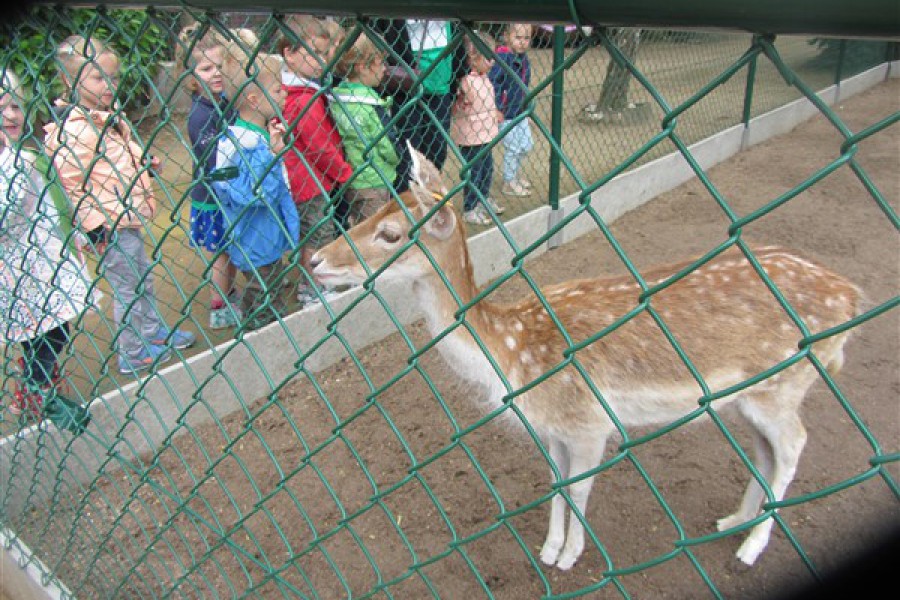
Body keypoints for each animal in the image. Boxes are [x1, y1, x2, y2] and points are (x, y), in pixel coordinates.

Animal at [312, 145, 864, 572]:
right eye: (372, 213)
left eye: (391, 234)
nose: (315, 259)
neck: (512, 352)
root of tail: (853, 296)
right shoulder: (555, 427)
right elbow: (557, 483)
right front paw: (549, 546)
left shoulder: (590, 421)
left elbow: (579, 489)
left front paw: (568, 556)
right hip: (751, 395)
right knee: (766, 452)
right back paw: (734, 520)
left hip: (785, 383)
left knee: (794, 444)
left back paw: (751, 547)